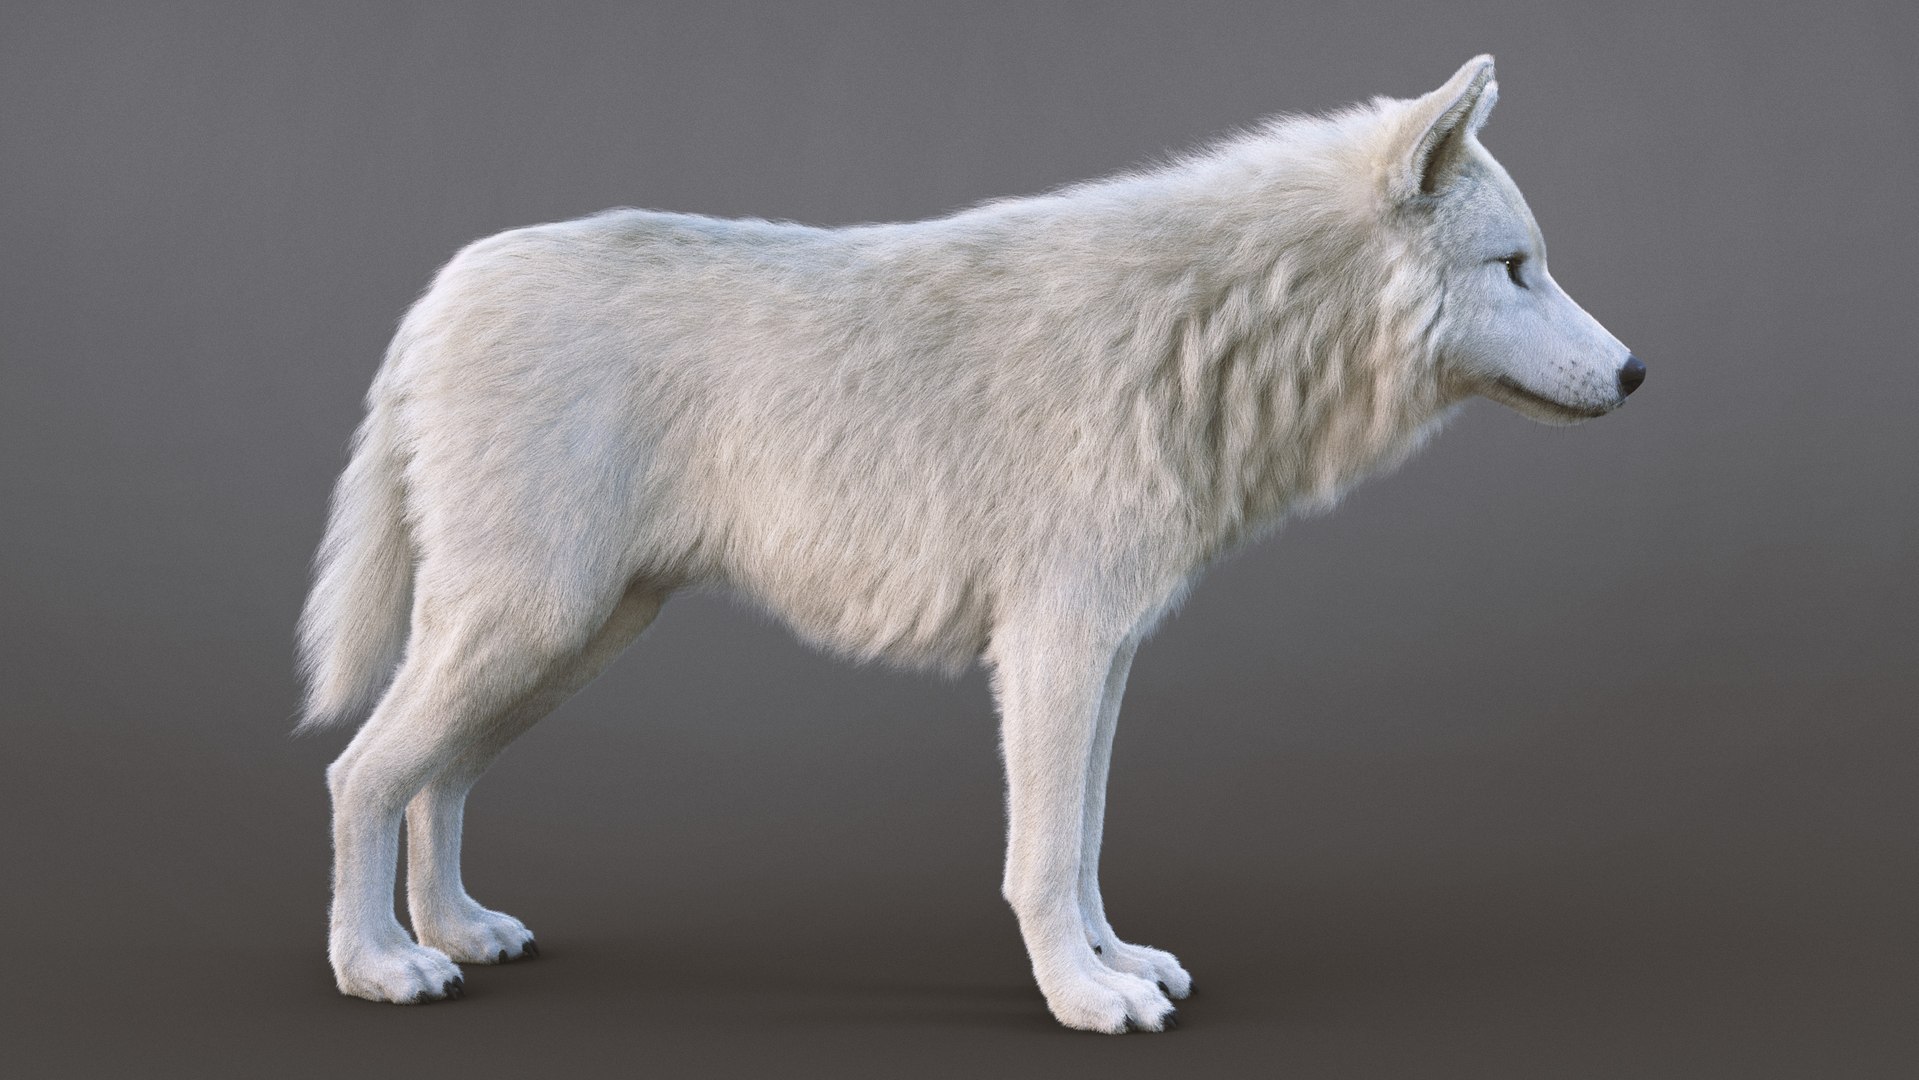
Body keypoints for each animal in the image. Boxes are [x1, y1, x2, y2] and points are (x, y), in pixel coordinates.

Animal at [297, 55, 1643, 1032]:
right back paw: (380, 966)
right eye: (1514, 269)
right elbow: (1040, 858)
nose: (1635, 372)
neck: (1204, 337)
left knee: (440, 777)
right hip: (536, 624)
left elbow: (1085, 845)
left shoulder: (1105, 655)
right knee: (362, 773)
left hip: (567, 640)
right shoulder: (1049, 648)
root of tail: (439, 289)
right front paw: (1084, 1001)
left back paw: (459, 932)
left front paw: (1117, 963)